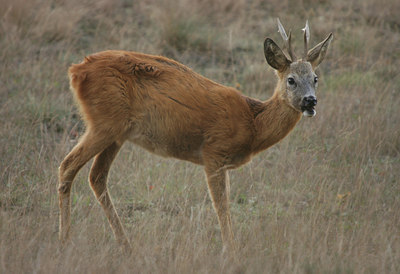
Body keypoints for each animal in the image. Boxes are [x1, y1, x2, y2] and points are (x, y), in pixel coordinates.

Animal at [58, 18, 334, 250]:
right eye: (291, 80)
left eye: (315, 78)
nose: (310, 101)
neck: (252, 122)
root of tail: (76, 71)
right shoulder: (214, 152)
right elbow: (222, 207)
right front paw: (231, 251)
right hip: (104, 123)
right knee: (67, 166)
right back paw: (66, 239)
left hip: (116, 131)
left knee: (97, 177)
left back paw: (125, 244)